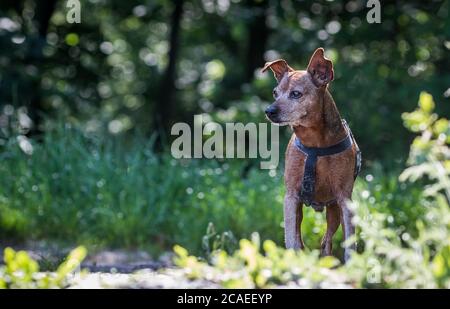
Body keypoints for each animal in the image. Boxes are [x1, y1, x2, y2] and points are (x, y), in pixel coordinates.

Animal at [260, 48, 362, 260]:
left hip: (334, 211)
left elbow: (350, 243)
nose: (268, 111)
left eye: (296, 94)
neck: (316, 144)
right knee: (301, 240)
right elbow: (291, 239)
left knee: (327, 240)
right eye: (275, 93)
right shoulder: (291, 198)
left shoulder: (344, 199)